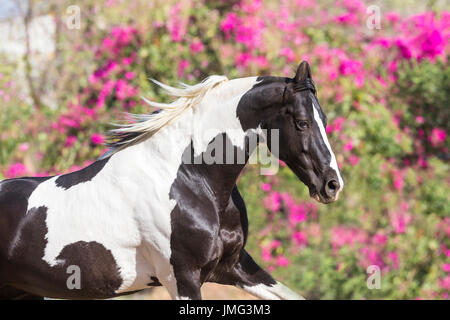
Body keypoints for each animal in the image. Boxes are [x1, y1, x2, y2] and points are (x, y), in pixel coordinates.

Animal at [0, 62, 344, 300]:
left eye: (324, 120)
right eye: (302, 123)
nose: (332, 185)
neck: (189, 181)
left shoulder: (235, 267)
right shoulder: (181, 276)